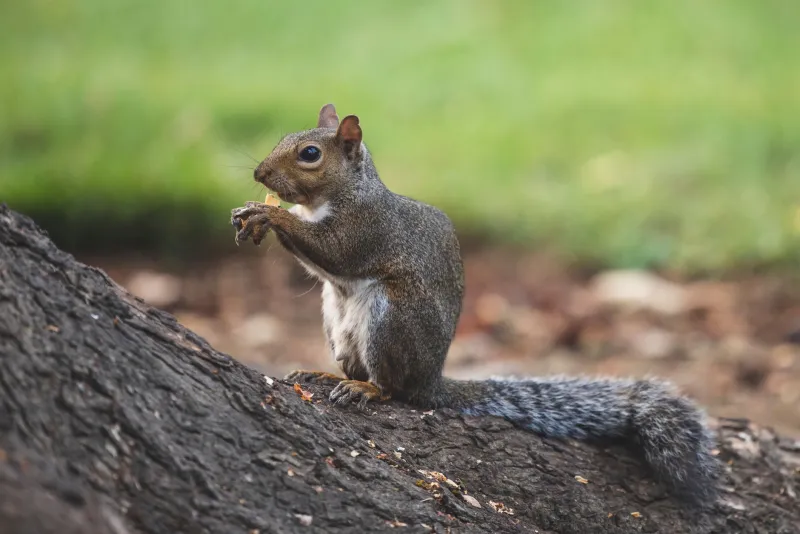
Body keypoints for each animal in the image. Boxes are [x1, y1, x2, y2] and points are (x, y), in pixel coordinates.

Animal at [231, 104, 720, 505]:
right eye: (282, 139)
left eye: (310, 154)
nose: (259, 175)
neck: (342, 194)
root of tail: (431, 379)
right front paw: (254, 214)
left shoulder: (366, 228)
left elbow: (334, 252)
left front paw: (269, 213)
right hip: (337, 325)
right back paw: (329, 375)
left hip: (391, 319)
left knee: (393, 388)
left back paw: (367, 389)